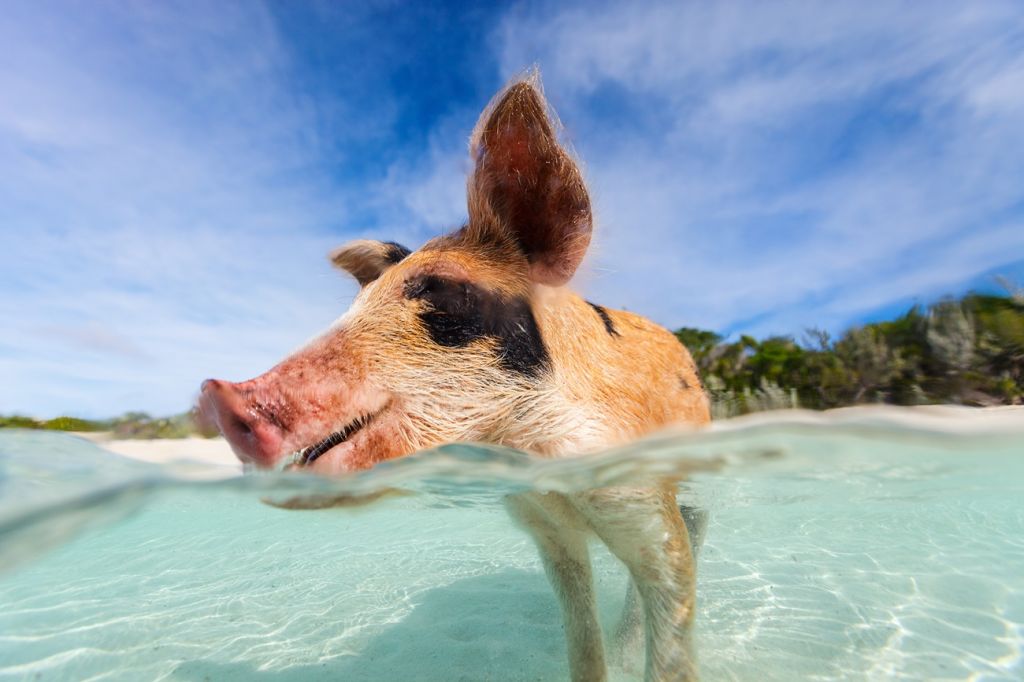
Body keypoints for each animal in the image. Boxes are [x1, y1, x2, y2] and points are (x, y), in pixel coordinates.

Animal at [199, 74, 712, 679]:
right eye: (359, 303)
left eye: (440, 291)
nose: (219, 394)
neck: (531, 456)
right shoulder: (545, 529)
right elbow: (580, 631)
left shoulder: (642, 499)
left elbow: (670, 608)